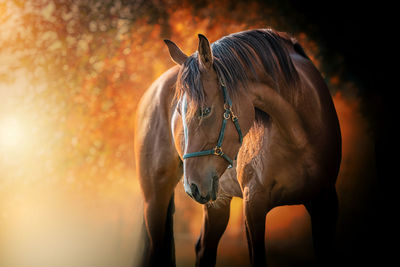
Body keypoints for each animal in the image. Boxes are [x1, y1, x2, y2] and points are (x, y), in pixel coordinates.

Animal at [135, 28, 340, 266]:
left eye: (205, 110)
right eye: (178, 110)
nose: (191, 186)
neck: (298, 137)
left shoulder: (325, 202)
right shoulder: (254, 205)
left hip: (216, 201)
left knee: (204, 248)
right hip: (156, 197)